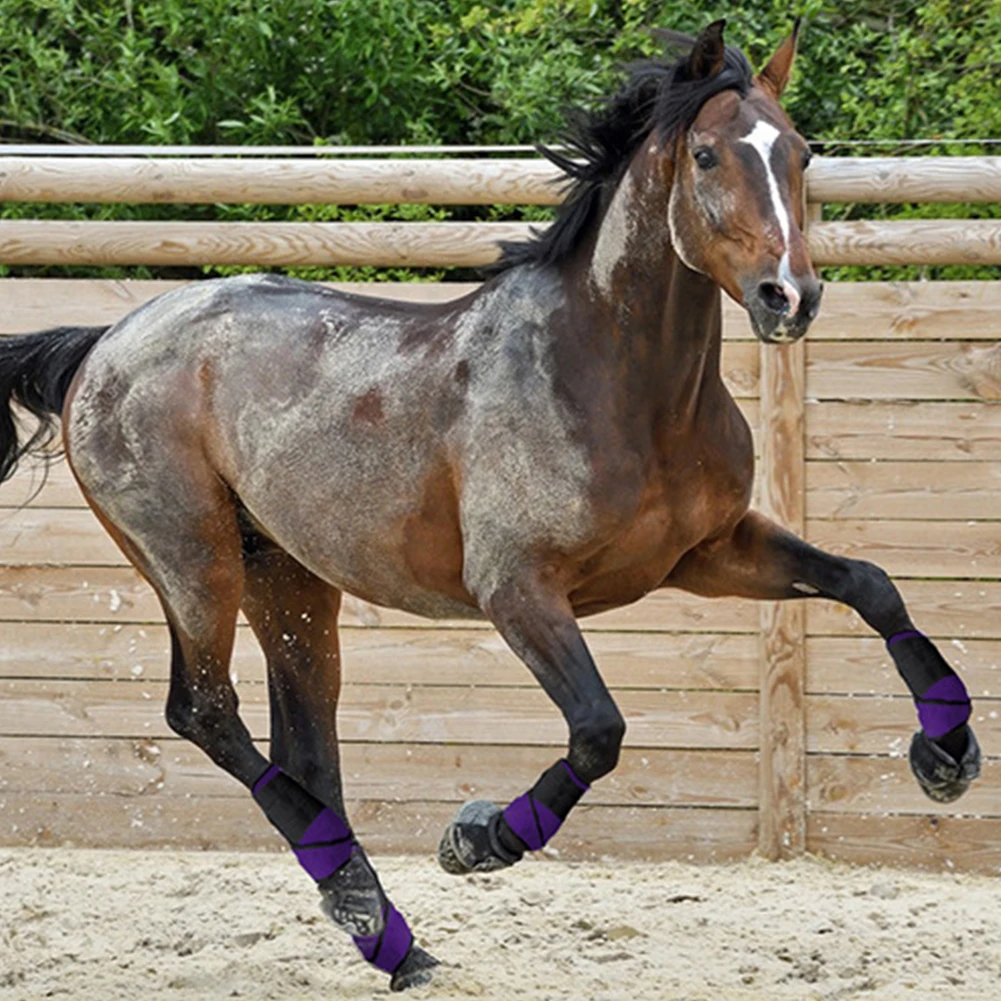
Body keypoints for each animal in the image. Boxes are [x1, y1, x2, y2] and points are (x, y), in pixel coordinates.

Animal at [0, 19, 981, 992]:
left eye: (802, 153)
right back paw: (366, 902)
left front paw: (947, 757)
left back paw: (386, 934)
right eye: (706, 155)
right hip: (192, 559)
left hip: (290, 576)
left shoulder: (710, 553)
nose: (790, 297)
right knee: (203, 711)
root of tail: (105, 340)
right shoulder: (517, 588)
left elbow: (869, 583)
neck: (619, 386)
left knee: (304, 745)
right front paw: (479, 838)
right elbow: (598, 729)